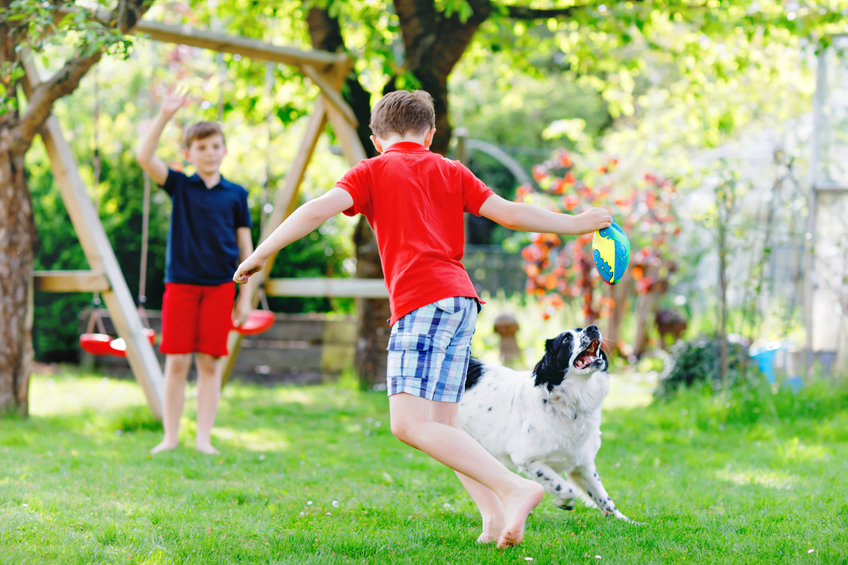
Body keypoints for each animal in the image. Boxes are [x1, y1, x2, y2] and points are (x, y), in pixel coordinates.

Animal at [458, 326, 628, 520]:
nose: (593, 327)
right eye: (566, 339)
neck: (568, 402)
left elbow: (603, 497)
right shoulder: (527, 459)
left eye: (580, 329)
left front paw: (626, 522)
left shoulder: (582, 463)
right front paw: (564, 502)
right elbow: (566, 488)